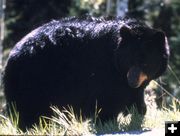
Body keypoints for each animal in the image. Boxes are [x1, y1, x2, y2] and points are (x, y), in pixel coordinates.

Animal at [2, 15, 169, 129]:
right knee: (30, 108)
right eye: (129, 60)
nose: (132, 81)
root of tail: (13, 55)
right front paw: (106, 122)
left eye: (145, 63)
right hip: (35, 79)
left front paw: (138, 114)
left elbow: (136, 98)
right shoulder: (105, 73)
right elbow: (106, 100)